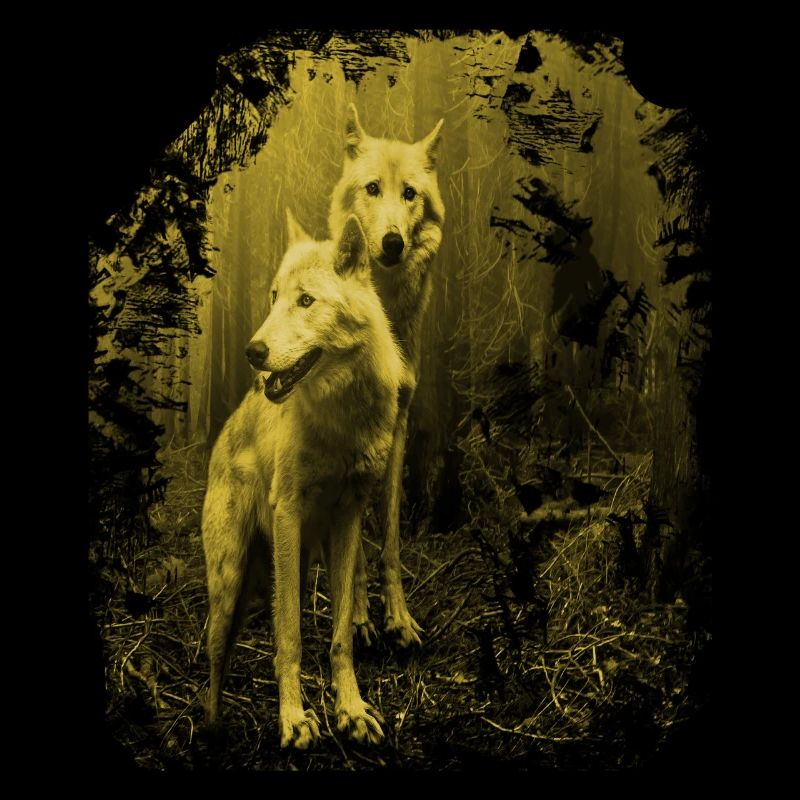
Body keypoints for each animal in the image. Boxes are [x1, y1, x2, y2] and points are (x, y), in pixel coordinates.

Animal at [202, 211, 403, 748]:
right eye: (274, 297)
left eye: (306, 301)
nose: (252, 351)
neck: (340, 420)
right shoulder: (288, 513)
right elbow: (289, 634)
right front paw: (293, 719)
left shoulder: (349, 517)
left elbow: (340, 635)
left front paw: (351, 710)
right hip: (229, 581)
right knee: (213, 657)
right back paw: (210, 729)